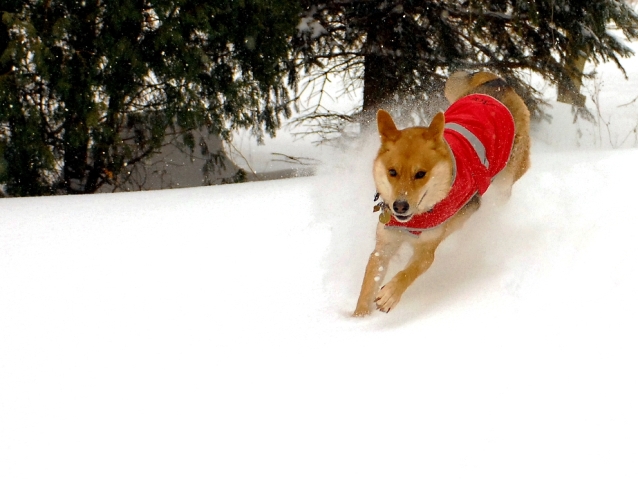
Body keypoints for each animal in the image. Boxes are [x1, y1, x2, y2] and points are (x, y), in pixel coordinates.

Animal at [356, 71, 528, 316]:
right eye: (392, 172)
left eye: (421, 174)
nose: (399, 206)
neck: (416, 219)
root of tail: (498, 82)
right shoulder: (384, 244)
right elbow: (369, 280)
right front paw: (357, 318)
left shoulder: (428, 248)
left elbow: (412, 270)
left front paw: (390, 294)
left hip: (507, 178)